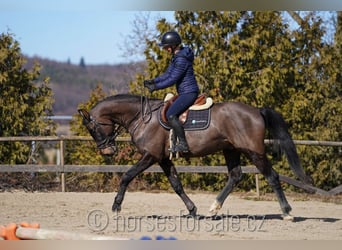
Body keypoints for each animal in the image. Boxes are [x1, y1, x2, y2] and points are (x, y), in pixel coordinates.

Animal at [79, 93, 312, 219]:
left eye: (92, 128)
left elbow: (127, 176)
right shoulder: (163, 159)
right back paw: (214, 208)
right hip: (231, 150)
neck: (142, 117)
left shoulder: (150, 156)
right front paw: (192, 210)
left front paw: (116, 207)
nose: (107, 151)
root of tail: (256, 110)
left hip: (254, 152)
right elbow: (176, 184)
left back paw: (287, 212)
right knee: (235, 176)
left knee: (272, 176)